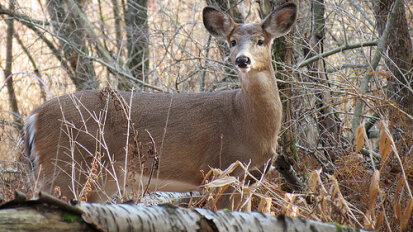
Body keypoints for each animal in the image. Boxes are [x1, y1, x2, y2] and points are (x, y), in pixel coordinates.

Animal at [25, 2, 296, 204]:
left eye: (261, 40)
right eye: (232, 41)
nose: (242, 60)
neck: (244, 119)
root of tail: (33, 116)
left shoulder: (251, 179)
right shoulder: (223, 168)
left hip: (101, 181)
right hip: (64, 164)